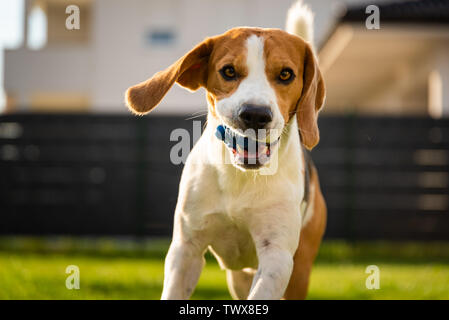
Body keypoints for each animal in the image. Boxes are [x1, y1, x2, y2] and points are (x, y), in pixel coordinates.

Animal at [126, 1, 326, 298]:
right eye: (229, 71)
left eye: (286, 74)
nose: (255, 114)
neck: (239, 176)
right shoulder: (185, 250)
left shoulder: (277, 258)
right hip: (238, 278)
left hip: (299, 270)